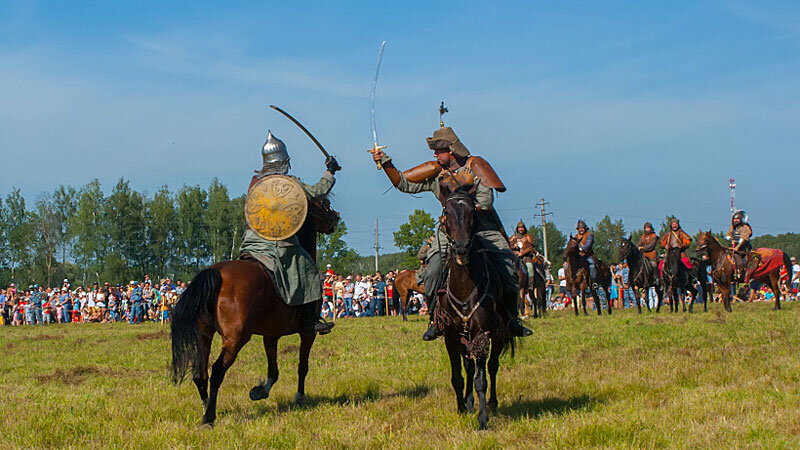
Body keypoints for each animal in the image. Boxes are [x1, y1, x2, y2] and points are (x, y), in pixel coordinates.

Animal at [170, 198, 340, 426]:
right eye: (324, 202)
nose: (335, 217)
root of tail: (215, 273)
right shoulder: (307, 333)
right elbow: (302, 366)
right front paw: (299, 397)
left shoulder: (271, 335)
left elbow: (273, 371)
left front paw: (260, 391)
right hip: (236, 338)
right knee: (217, 371)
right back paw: (209, 418)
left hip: (203, 334)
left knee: (200, 374)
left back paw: (207, 408)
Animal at [434, 185, 516, 430]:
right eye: (447, 212)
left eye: (472, 211)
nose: (461, 247)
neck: (463, 284)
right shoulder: (451, 336)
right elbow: (458, 376)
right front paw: (462, 408)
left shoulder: (481, 334)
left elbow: (482, 379)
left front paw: (483, 419)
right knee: (469, 368)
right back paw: (469, 403)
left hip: (498, 334)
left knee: (492, 367)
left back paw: (492, 403)